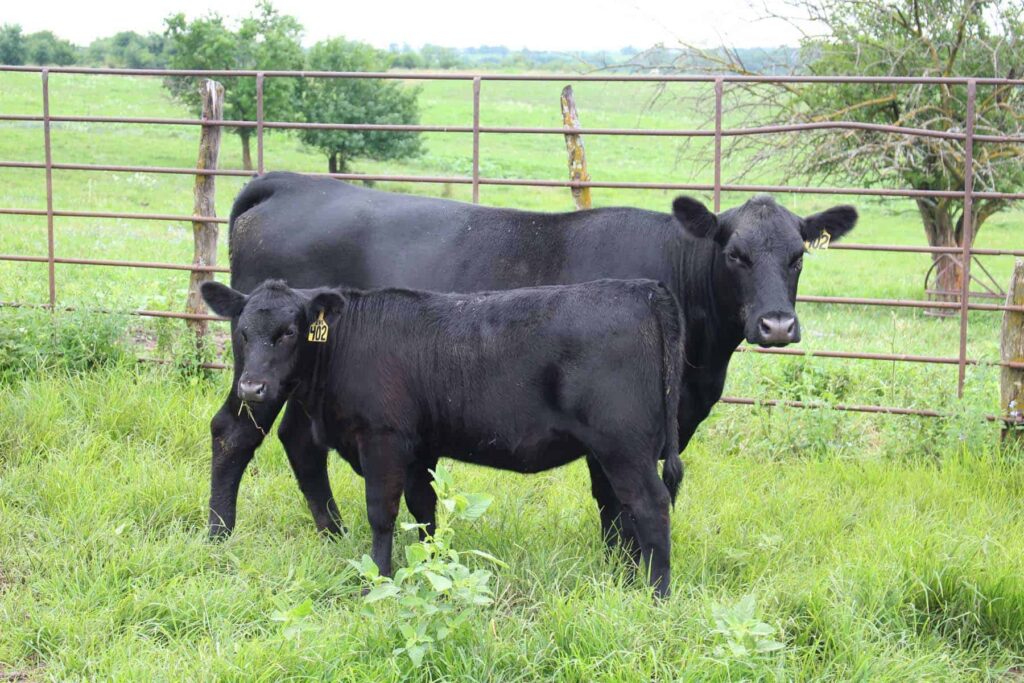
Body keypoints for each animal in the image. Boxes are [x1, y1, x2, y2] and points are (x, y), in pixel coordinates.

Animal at [201, 278, 679, 598]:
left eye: (289, 332)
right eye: (242, 332)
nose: (251, 388)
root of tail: (643, 288)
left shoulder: (383, 441)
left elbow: (382, 513)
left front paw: (378, 580)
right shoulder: (419, 450)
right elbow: (424, 513)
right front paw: (431, 568)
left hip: (624, 447)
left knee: (649, 505)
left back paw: (655, 593)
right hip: (608, 452)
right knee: (620, 510)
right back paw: (624, 580)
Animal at [207, 172, 856, 544]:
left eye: (798, 255)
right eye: (735, 253)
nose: (777, 324)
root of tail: (291, 183)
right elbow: (614, 500)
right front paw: (619, 567)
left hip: (300, 381)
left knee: (299, 440)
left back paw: (334, 535)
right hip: (259, 372)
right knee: (233, 433)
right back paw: (220, 536)